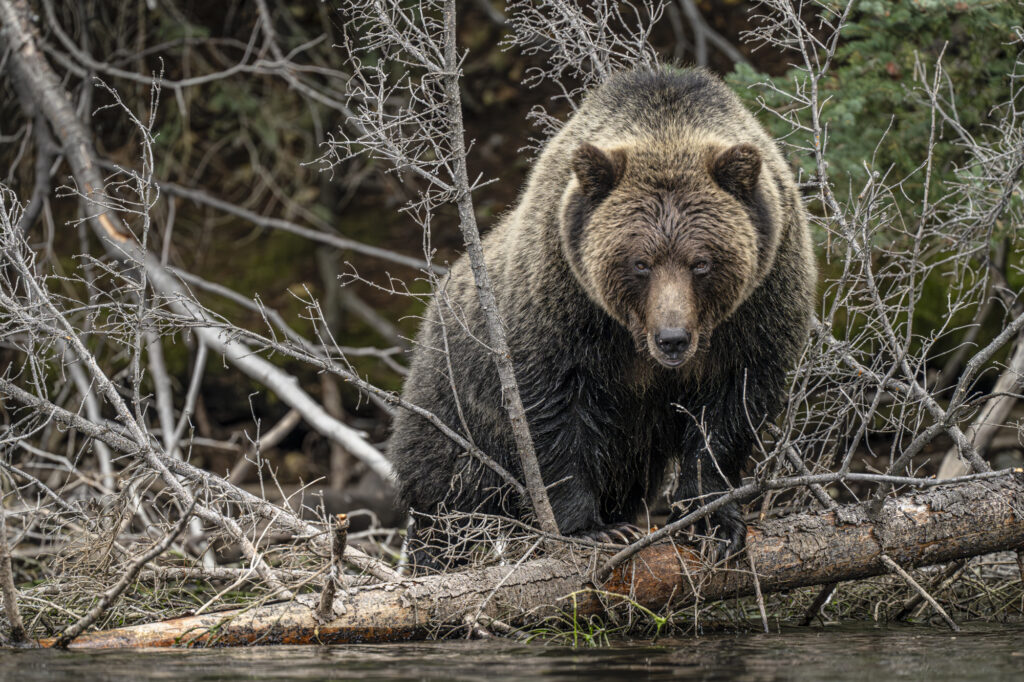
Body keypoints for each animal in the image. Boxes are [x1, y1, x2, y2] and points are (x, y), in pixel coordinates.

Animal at [388, 66, 816, 566]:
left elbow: (729, 415)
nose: (673, 339)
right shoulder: (565, 308)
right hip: (455, 408)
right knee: (451, 495)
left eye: (702, 262)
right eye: (641, 262)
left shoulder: (758, 309)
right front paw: (591, 530)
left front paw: (712, 521)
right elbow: (554, 417)